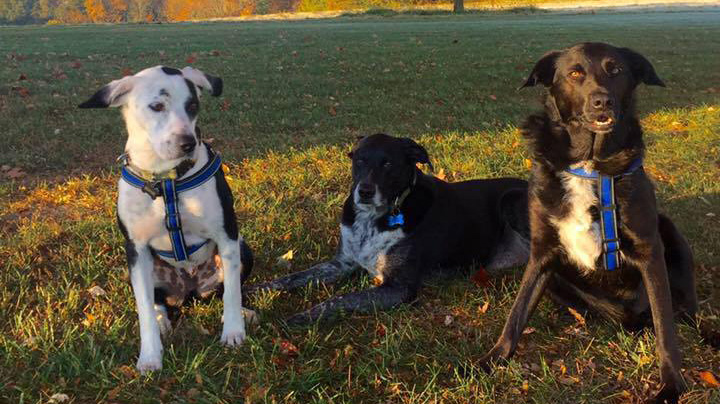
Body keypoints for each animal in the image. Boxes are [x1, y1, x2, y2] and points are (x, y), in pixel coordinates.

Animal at [80, 66, 255, 372]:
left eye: (193, 105)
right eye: (157, 106)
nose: (187, 143)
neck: (165, 180)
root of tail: (189, 288)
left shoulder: (228, 237)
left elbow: (233, 292)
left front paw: (234, 330)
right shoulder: (135, 250)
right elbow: (144, 313)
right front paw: (150, 356)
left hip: (243, 250)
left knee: (226, 290)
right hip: (137, 269)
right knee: (157, 301)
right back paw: (162, 319)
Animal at [250, 135, 532, 326]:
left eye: (388, 164)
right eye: (360, 160)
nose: (364, 191)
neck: (373, 219)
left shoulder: (398, 288)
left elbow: (339, 299)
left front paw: (299, 317)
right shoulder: (341, 263)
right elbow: (292, 277)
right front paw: (251, 290)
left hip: (511, 198)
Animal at [478, 42, 696, 402]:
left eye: (616, 69)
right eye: (575, 73)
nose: (602, 100)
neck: (590, 164)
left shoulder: (650, 253)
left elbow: (666, 329)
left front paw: (670, 385)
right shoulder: (542, 254)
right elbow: (517, 313)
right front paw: (490, 360)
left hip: (671, 235)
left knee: (684, 313)